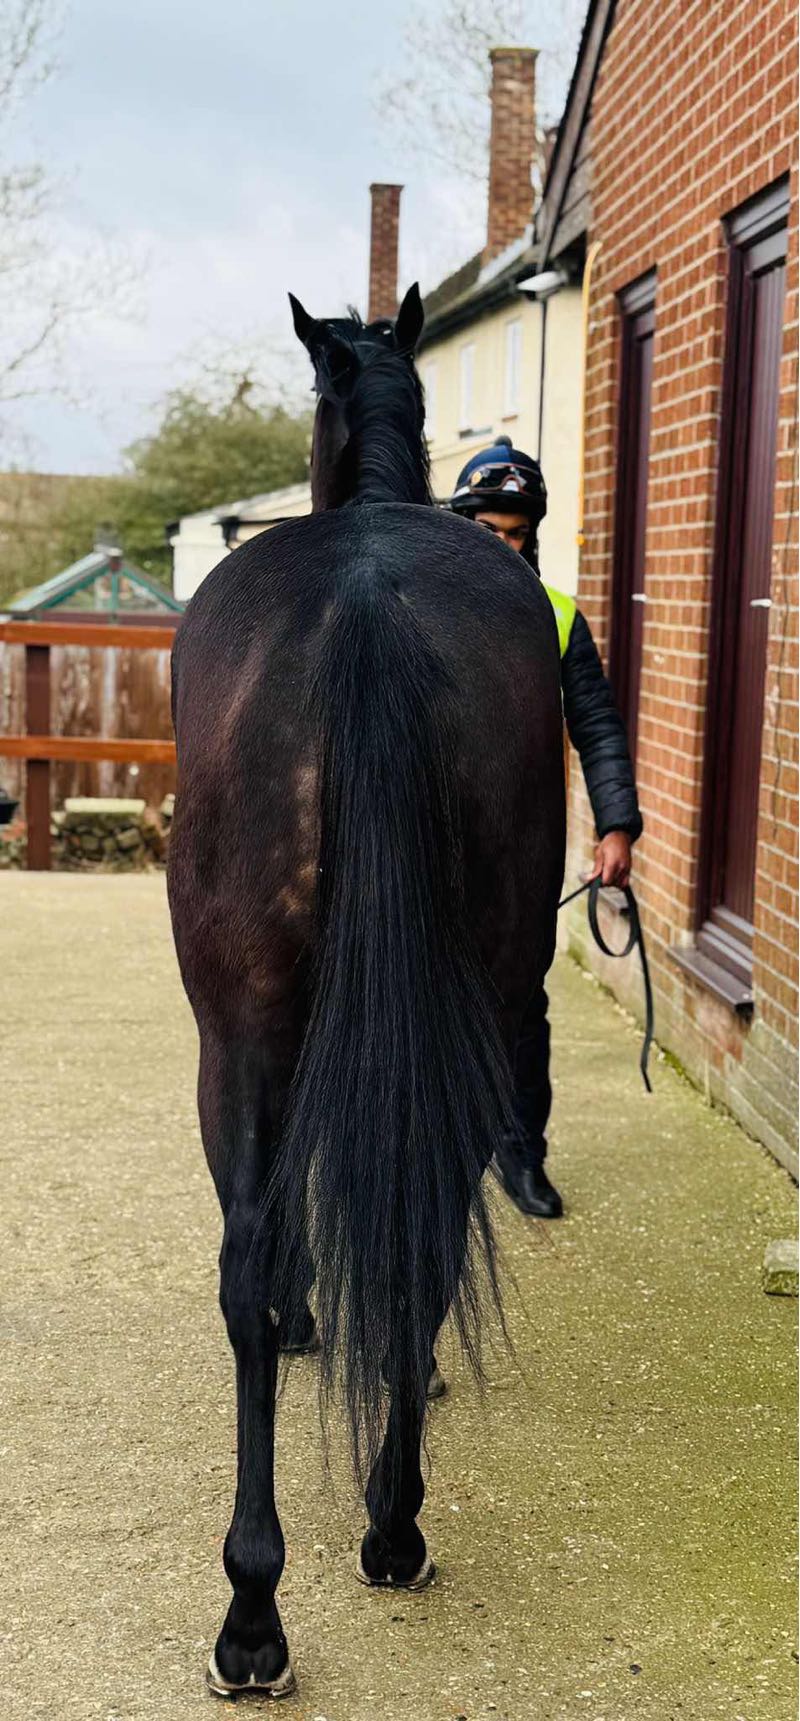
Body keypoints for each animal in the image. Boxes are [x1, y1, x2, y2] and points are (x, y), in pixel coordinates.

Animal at [167, 281, 565, 1699]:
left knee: (252, 1259)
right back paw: (363, 1540)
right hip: (467, 1005)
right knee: (420, 1230)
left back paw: (270, 1601)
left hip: (234, 1033)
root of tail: (368, 609)